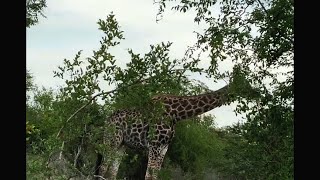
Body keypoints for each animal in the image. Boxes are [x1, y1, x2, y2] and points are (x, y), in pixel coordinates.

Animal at [95, 84, 232, 180]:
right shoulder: (154, 145)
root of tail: (107, 120)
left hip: (122, 145)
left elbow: (155, 176)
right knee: (102, 168)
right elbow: (148, 176)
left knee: (112, 172)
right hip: (112, 140)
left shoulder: (164, 147)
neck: (176, 115)